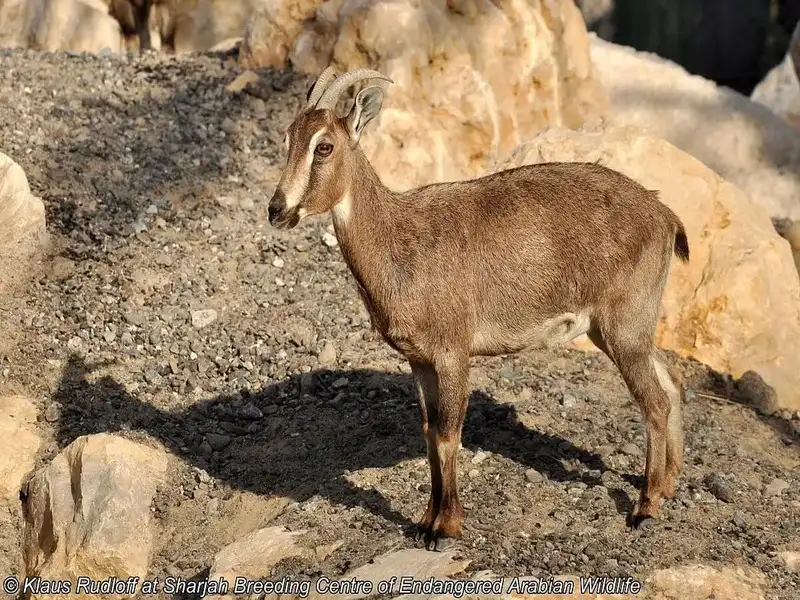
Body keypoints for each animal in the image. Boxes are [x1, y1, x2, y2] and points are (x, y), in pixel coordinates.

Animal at [268, 65, 688, 548]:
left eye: (324, 146)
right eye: (288, 138)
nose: (277, 209)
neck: (398, 242)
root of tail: (666, 216)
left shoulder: (453, 352)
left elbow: (449, 434)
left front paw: (446, 527)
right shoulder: (420, 361)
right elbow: (429, 431)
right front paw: (426, 520)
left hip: (624, 322)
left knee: (654, 401)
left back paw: (645, 507)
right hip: (618, 327)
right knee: (670, 381)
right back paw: (668, 484)